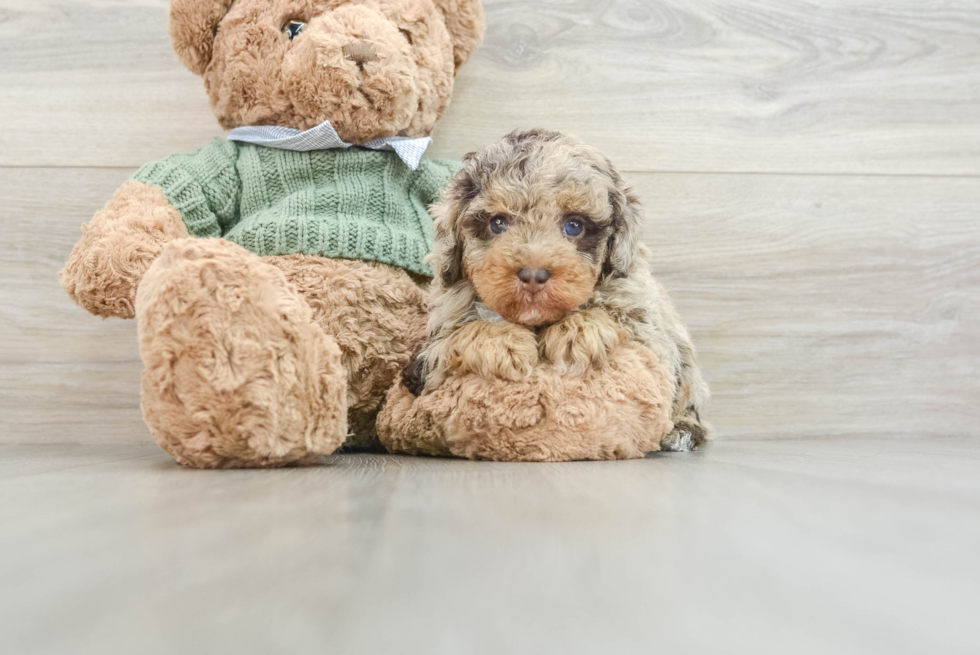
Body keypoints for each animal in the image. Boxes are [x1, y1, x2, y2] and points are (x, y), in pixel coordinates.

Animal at [402, 130, 708, 448]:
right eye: (498, 223)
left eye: (574, 225)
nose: (533, 275)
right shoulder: (427, 356)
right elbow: (459, 334)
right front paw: (503, 341)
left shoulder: (651, 338)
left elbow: (617, 316)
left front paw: (578, 330)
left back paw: (681, 431)